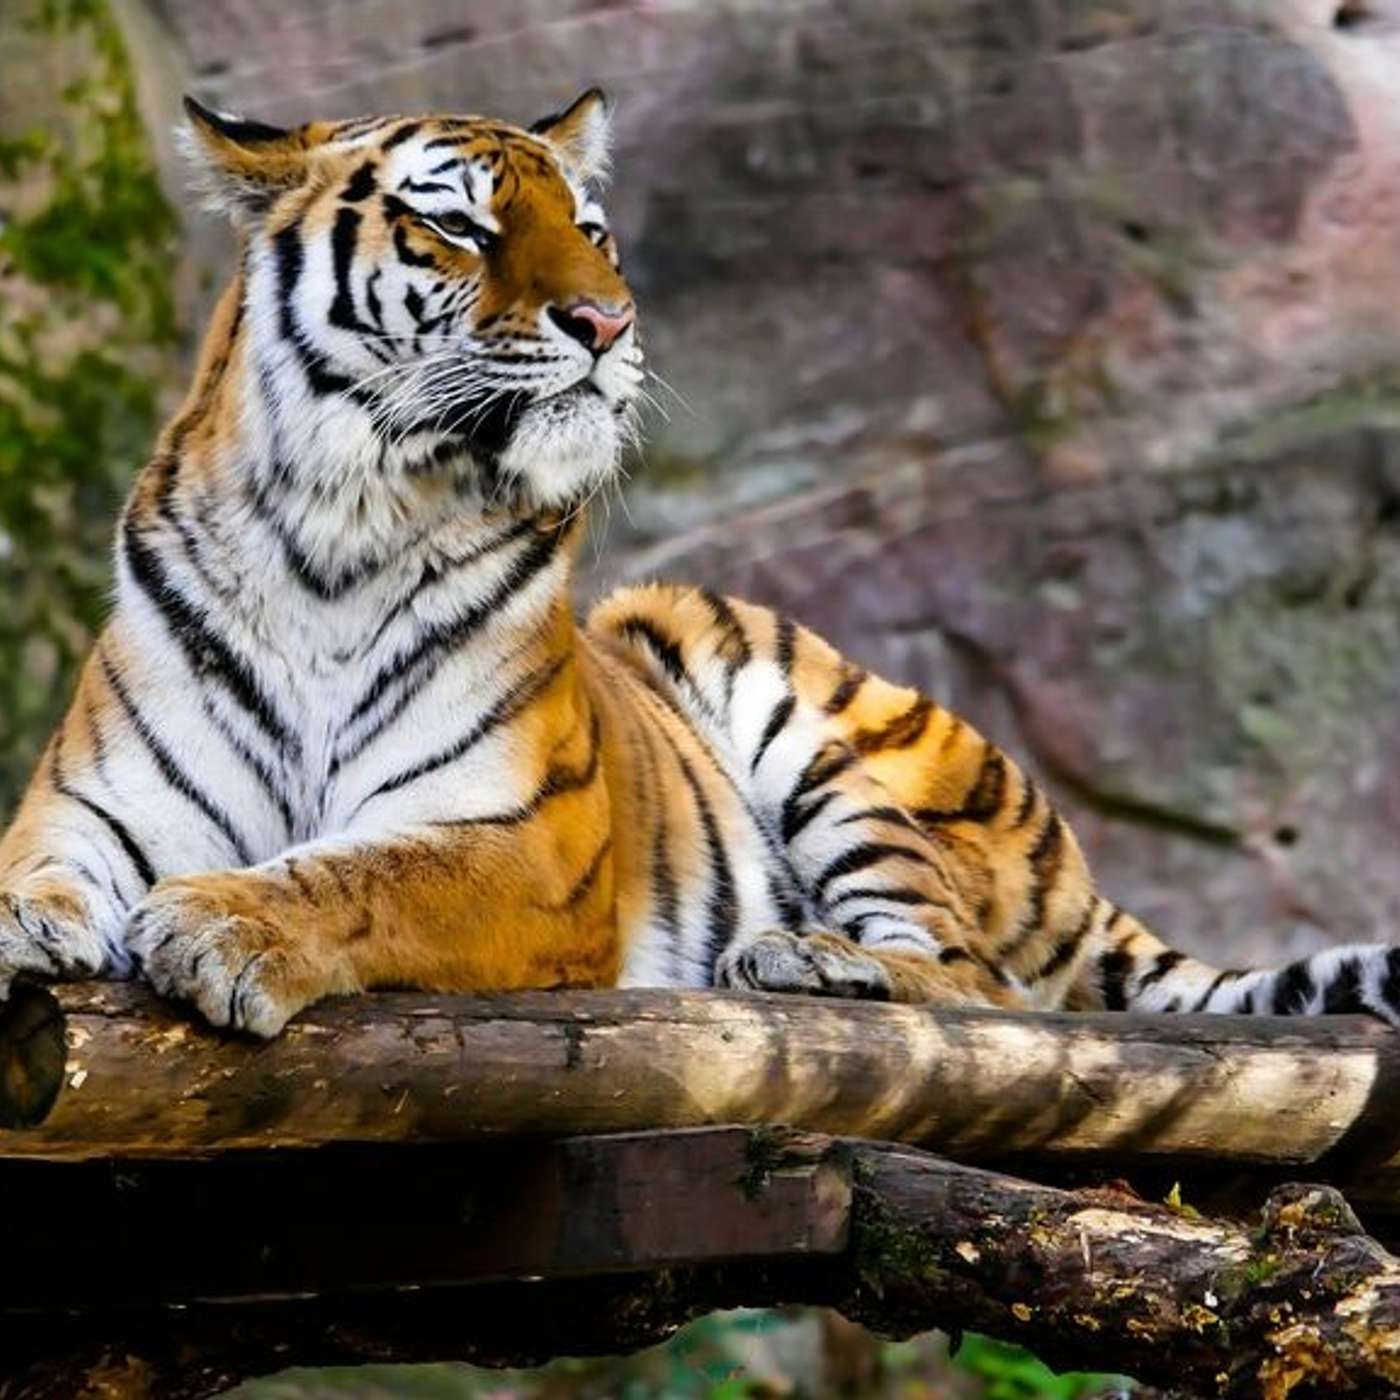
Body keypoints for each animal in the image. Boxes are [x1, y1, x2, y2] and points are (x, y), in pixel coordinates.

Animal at [0, 88, 1396, 1040]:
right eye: (460, 227)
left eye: (592, 231)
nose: (606, 322)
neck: (341, 533)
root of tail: (1075, 863)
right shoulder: (89, 802)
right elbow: (36, 859)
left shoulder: (518, 841)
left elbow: (366, 872)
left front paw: (223, 920)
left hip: (799, 714)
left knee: (985, 982)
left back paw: (806, 956)